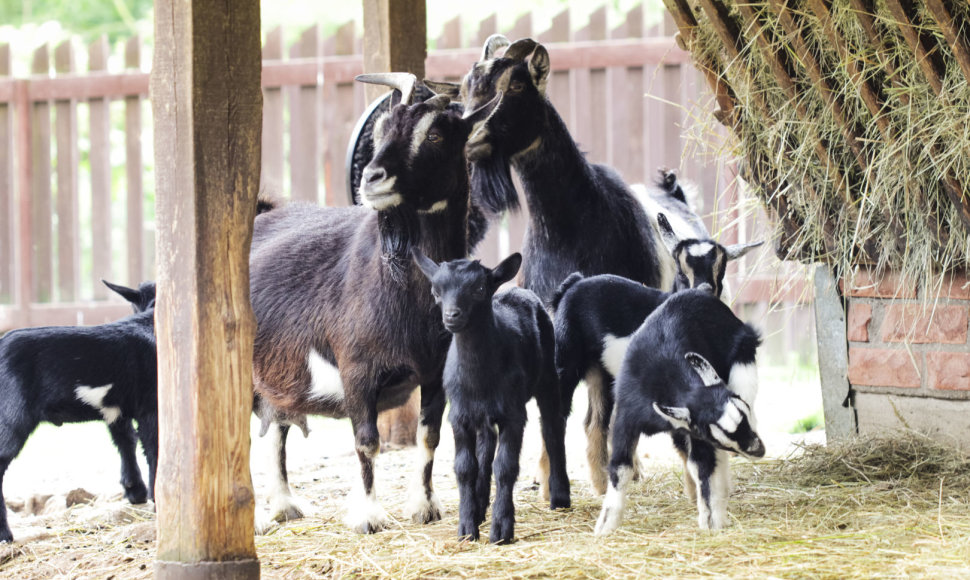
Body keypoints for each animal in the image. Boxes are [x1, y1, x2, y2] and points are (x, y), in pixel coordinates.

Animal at [0, 282, 157, 544]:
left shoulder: (116, 410)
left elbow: (126, 441)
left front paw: (136, 492)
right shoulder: (151, 406)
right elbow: (154, 449)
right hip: (11, 418)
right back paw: (5, 534)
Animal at [250, 73, 500, 536]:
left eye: (435, 134)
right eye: (381, 130)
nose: (373, 178)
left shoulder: (435, 371)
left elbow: (429, 437)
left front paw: (424, 506)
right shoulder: (357, 371)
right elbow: (367, 442)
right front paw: (368, 515)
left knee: (277, 426)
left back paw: (285, 505)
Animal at [410, 249, 568, 544]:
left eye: (479, 289)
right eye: (436, 291)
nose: (452, 316)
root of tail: (515, 290)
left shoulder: (513, 414)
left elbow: (505, 467)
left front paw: (501, 530)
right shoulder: (459, 415)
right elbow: (465, 468)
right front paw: (466, 528)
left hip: (548, 379)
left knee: (553, 430)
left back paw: (560, 497)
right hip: (482, 415)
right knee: (485, 447)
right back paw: (480, 505)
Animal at [588, 288, 764, 536]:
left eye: (744, 413)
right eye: (718, 438)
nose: (759, 449)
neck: (663, 375)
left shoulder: (694, 429)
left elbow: (702, 465)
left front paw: (711, 519)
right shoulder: (626, 418)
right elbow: (620, 468)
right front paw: (606, 524)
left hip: (743, 361)